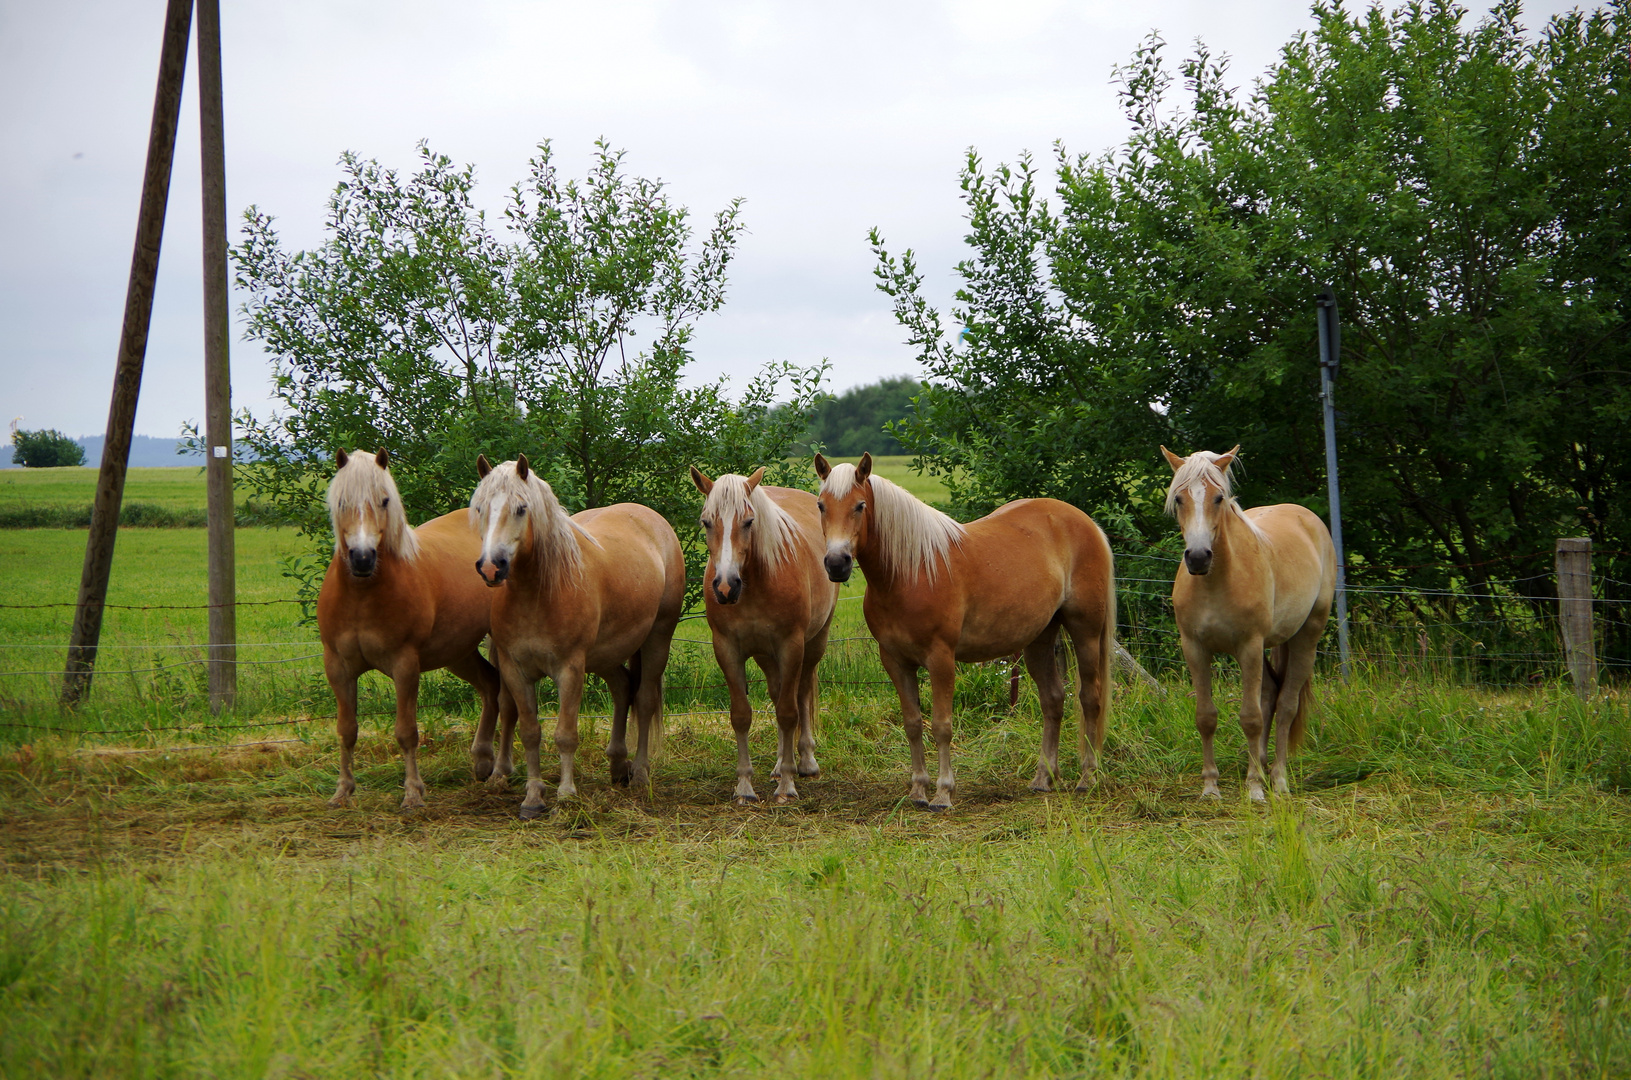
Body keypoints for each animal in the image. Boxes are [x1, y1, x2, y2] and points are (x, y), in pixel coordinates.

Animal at [318, 447, 515, 812]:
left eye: (384, 500)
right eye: (341, 502)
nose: (363, 558)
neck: (361, 596)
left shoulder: (405, 665)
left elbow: (406, 731)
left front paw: (412, 793)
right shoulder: (338, 667)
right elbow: (346, 729)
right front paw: (342, 791)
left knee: (508, 701)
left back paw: (501, 771)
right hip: (459, 652)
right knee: (489, 685)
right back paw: (482, 759)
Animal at [469, 453, 685, 822]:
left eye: (521, 508)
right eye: (481, 507)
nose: (491, 567)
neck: (537, 593)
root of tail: (655, 521)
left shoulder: (570, 669)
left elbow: (566, 734)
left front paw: (567, 795)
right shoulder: (515, 669)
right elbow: (530, 731)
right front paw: (533, 798)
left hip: (657, 639)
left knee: (643, 699)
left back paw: (640, 773)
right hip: (606, 654)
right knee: (623, 687)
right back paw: (618, 765)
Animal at [691, 463, 841, 802]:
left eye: (749, 521)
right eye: (706, 522)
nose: (725, 587)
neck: (755, 584)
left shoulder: (791, 646)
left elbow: (788, 712)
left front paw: (787, 785)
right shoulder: (727, 649)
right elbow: (741, 715)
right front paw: (745, 786)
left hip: (814, 644)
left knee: (802, 694)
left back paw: (805, 762)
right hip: (766, 655)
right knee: (778, 692)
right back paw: (778, 764)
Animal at [815, 450, 1122, 812]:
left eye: (860, 505)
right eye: (821, 505)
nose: (837, 563)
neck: (910, 572)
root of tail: (1087, 523)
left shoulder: (941, 659)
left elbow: (941, 725)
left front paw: (943, 793)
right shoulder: (895, 661)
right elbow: (913, 724)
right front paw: (918, 790)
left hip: (1086, 631)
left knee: (1090, 698)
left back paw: (1088, 777)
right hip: (1039, 638)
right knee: (1053, 699)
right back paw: (1043, 778)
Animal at [1161, 447, 1337, 802]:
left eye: (1218, 498)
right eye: (1179, 499)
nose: (1198, 557)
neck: (1216, 581)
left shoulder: (1249, 647)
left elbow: (1251, 718)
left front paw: (1254, 787)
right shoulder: (1195, 648)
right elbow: (1206, 717)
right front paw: (1210, 786)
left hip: (1305, 638)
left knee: (1285, 705)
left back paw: (1278, 780)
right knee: (1270, 695)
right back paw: (1264, 765)